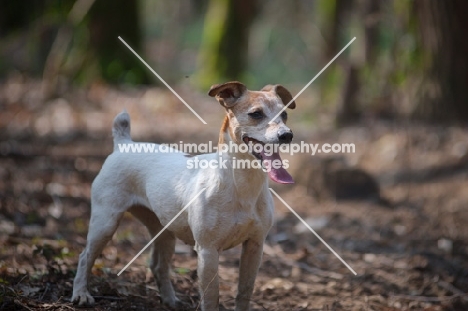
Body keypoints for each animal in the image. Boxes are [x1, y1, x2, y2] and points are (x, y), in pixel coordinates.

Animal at [70, 81, 296, 310]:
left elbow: (244, 291)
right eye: (256, 114)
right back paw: (81, 294)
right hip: (105, 223)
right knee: (85, 256)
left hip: (165, 232)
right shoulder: (207, 251)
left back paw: (170, 301)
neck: (242, 185)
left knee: (158, 266)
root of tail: (124, 144)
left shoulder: (254, 246)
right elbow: (211, 297)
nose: (287, 135)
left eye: (285, 114)